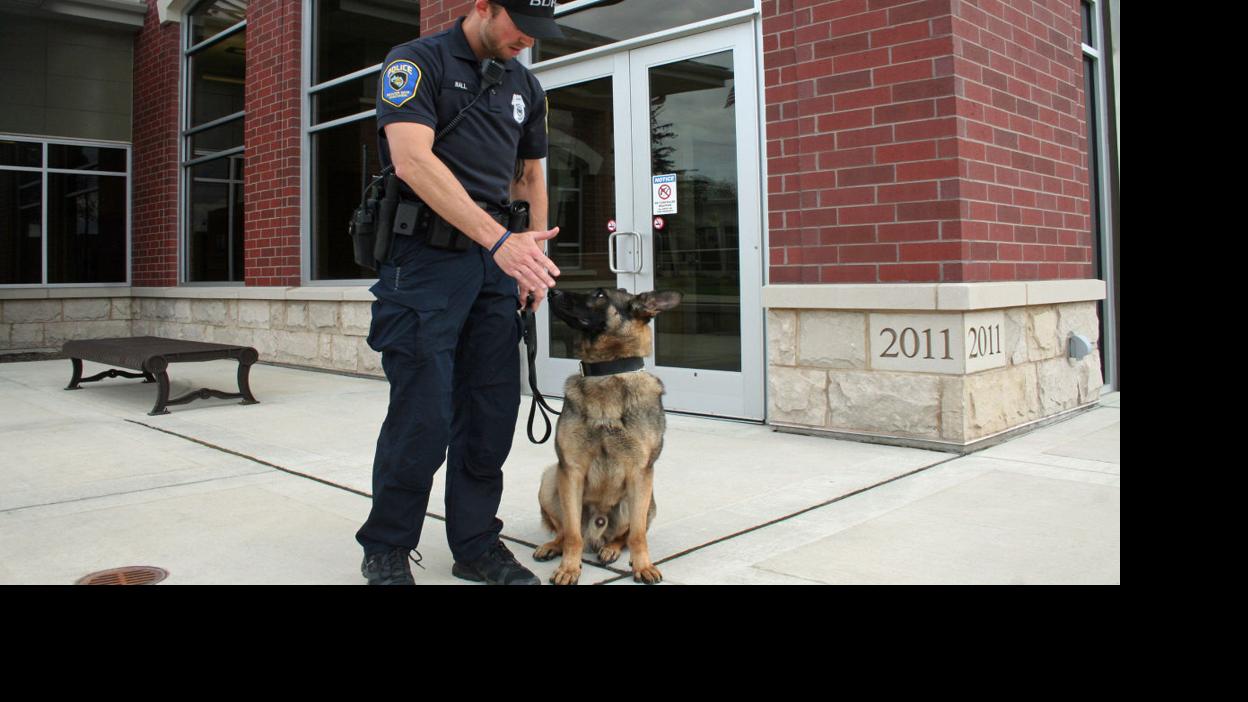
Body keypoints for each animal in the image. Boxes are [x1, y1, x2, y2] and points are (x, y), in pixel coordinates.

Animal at [529, 287, 678, 582]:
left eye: (599, 295)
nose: (552, 290)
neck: (606, 372)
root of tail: (597, 533)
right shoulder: (571, 471)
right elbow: (572, 534)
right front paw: (569, 568)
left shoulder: (640, 473)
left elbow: (637, 535)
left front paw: (642, 566)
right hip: (551, 479)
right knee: (565, 531)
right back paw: (553, 546)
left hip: (644, 499)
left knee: (624, 535)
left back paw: (610, 549)